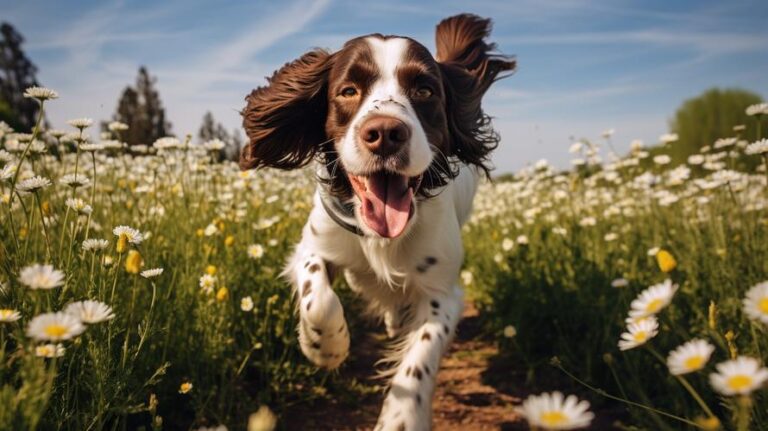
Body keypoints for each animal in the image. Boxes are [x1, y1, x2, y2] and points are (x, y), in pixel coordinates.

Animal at [242, 14, 516, 431]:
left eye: (424, 90)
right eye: (348, 90)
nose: (386, 133)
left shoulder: (442, 292)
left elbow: (419, 358)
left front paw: (402, 417)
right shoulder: (314, 245)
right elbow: (317, 297)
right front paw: (325, 346)